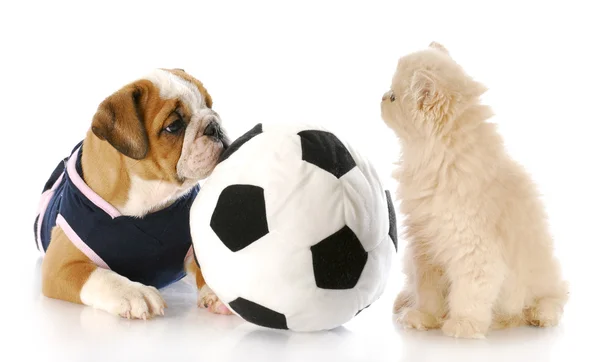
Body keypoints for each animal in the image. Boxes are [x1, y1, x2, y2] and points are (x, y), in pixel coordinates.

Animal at [32, 68, 233, 320]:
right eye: (174, 126)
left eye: (209, 105)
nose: (214, 126)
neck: (149, 194)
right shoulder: (61, 265)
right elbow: (102, 276)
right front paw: (134, 293)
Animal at [382, 43, 568, 340]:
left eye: (393, 97)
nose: (382, 96)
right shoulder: (425, 249)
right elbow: (428, 294)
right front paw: (423, 318)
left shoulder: (475, 250)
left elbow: (468, 294)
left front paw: (462, 326)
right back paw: (403, 302)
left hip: (546, 277)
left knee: (555, 296)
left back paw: (539, 315)